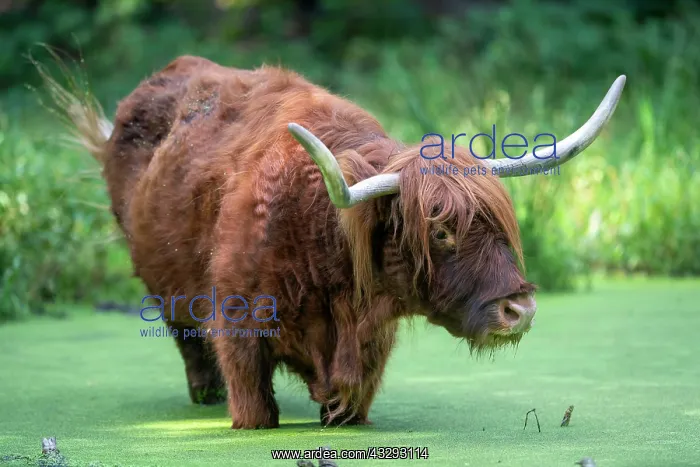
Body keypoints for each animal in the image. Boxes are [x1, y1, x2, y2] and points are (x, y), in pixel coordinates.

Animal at [37, 54, 625, 429]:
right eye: (441, 231)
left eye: (502, 226)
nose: (519, 310)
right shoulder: (238, 330)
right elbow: (253, 408)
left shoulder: (367, 355)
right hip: (168, 294)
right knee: (188, 342)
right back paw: (204, 396)